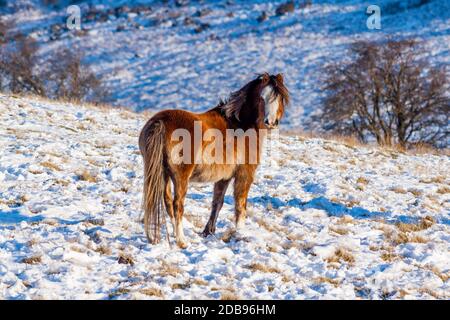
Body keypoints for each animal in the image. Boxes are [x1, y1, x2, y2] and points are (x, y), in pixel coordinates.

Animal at [139, 72, 290, 248]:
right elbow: (240, 205)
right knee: (178, 205)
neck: (240, 125)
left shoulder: (224, 177)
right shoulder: (245, 173)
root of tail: (160, 123)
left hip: (162, 174)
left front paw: (208, 232)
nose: (271, 122)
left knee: (168, 203)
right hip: (180, 176)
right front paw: (240, 231)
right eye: (262, 97)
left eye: (279, 98)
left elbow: (217, 203)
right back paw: (182, 241)